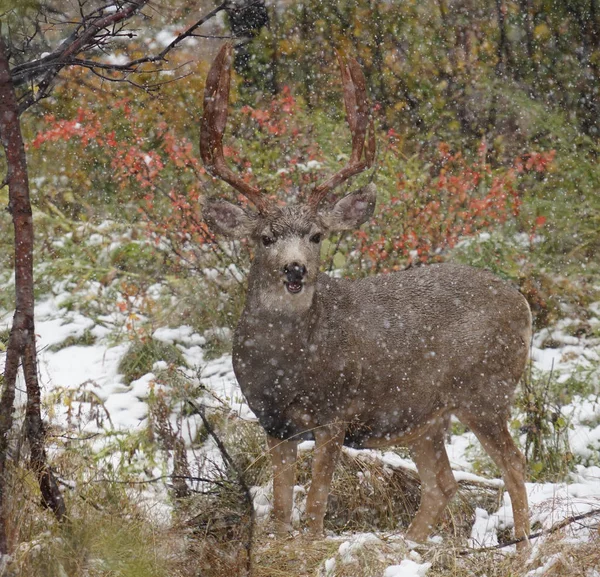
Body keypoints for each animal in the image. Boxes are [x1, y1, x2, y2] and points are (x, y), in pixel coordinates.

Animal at [200, 45, 528, 544]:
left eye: (316, 235)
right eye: (265, 237)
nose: (295, 269)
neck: (287, 366)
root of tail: (524, 304)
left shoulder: (336, 413)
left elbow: (315, 506)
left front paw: (313, 543)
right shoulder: (272, 421)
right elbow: (280, 509)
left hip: (485, 390)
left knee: (514, 465)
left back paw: (526, 548)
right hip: (426, 417)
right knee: (442, 484)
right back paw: (410, 546)